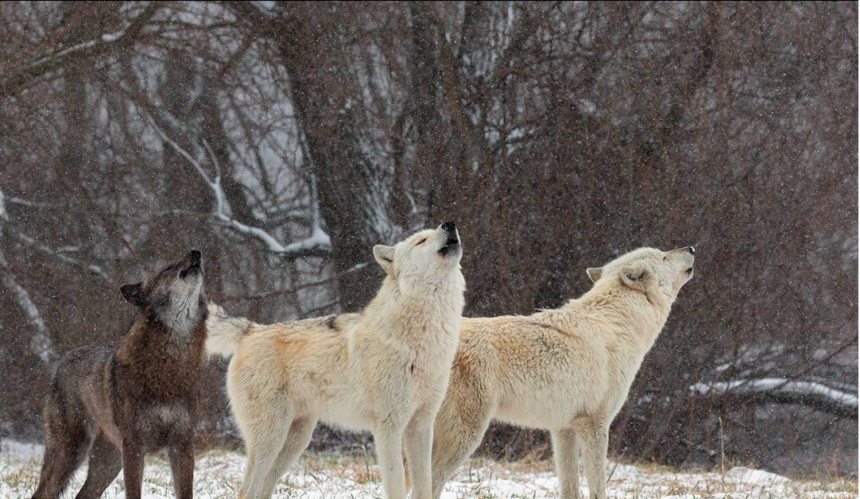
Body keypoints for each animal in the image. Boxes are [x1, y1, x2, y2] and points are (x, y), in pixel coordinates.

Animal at [32, 250, 209, 499]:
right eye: (168, 268)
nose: (196, 253)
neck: (170, 363)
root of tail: (61, 363)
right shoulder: (134, 446)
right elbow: (133, 492)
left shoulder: (182, 445)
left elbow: (185, 492)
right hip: (71, 453)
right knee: (43, 492)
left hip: (108, 464)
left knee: (83, 494)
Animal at [206, 222, 465, 499]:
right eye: (420, 241)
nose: (449, 224)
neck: (424, 339)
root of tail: (250, 330)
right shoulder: (388, 427)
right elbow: (396, 485)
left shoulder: (422, 425)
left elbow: (425, 486)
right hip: (271, 440)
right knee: (245, 491)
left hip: (295, 441)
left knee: (260, 490)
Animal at [414, 246, 695, 499]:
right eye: (664, 255)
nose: (691, 248)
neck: (619, 326)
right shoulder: (595, 424)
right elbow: (598, 488)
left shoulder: (563, 429)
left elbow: (569, 487)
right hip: (465, 436)